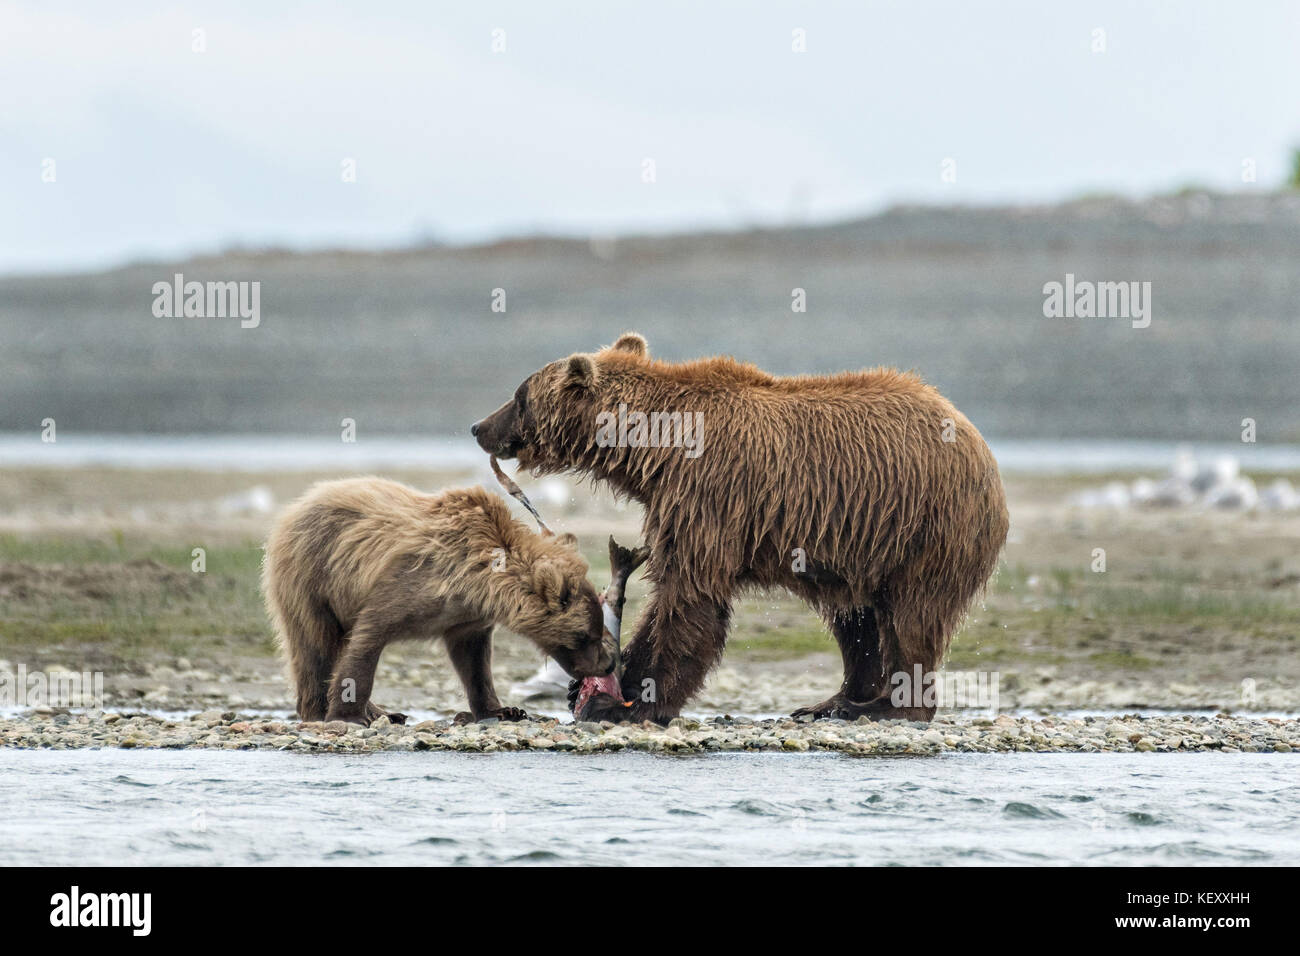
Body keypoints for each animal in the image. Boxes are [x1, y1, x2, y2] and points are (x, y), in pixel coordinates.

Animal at [262, 477, 615, 725]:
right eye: (586, 634)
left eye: (597, 629)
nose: (608, 662)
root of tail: (296, 506)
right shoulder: (407, 585)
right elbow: (368, 639)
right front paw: (350, 715)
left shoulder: (465, 617)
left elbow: (474, 661)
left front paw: (503, 710)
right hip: (312, 576)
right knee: (314, 642)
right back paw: (324, 709)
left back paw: (384, 713)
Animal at [471, 333, 1008, 724]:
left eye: (519, 395)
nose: (479, 426)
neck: (653, 454)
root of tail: (978, 441)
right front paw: (597, 688)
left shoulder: (708, 496)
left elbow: (690, 598)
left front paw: (629, 702)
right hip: (858, 546)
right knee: (857, 620)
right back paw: (833, 702)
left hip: (925, 528)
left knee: (911, 617)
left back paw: (887, 707)